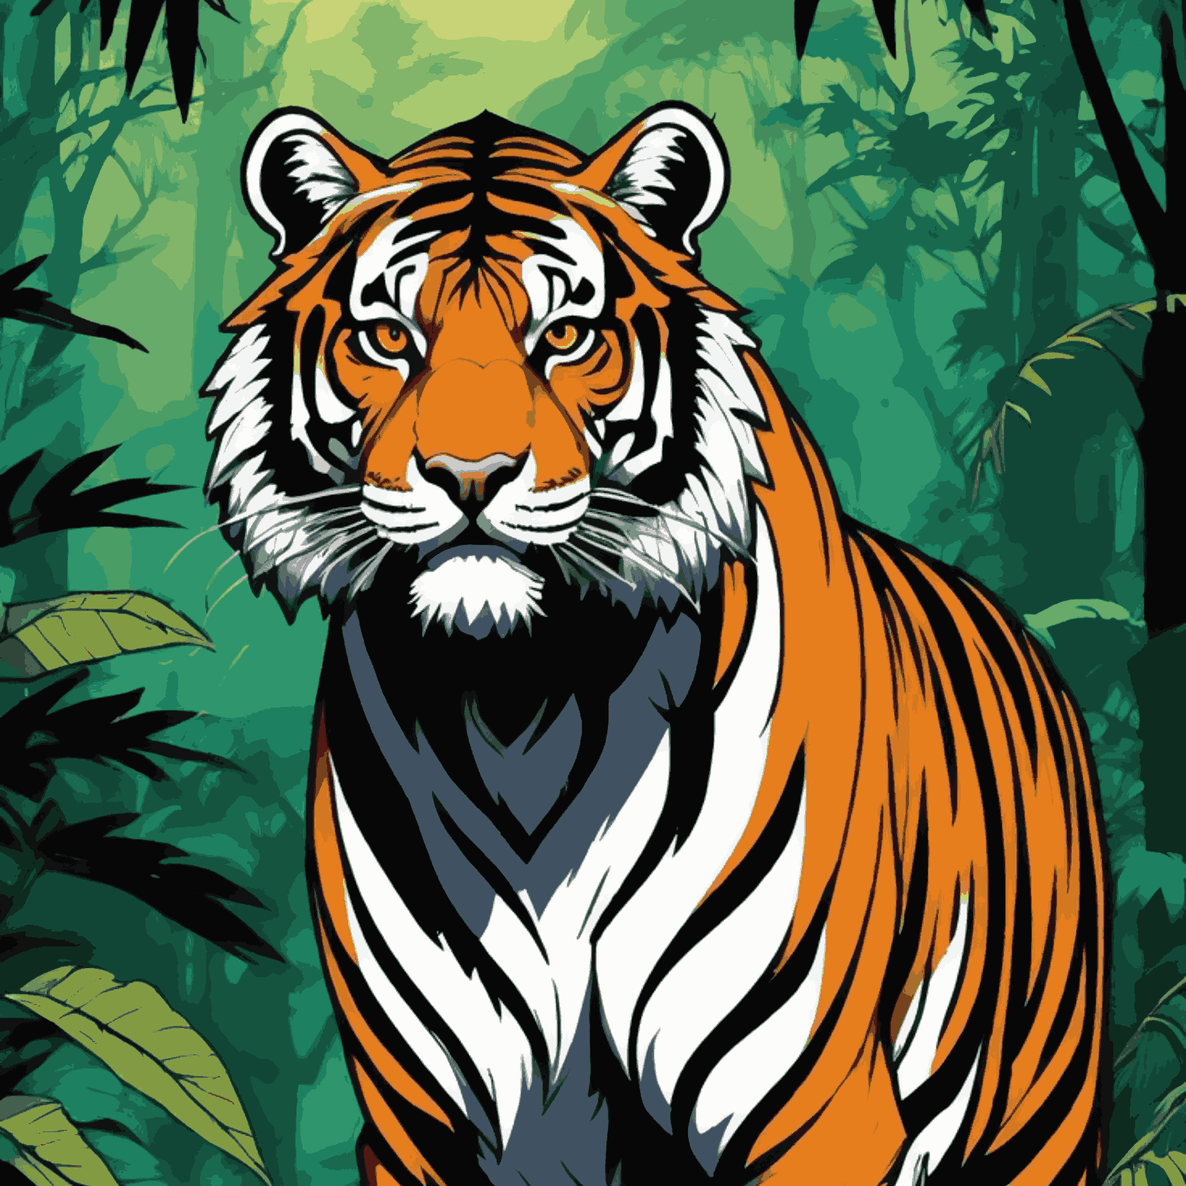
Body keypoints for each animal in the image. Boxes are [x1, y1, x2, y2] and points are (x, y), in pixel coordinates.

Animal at [202, 101, 1107, 1186]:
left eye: (563, 335)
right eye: (388, 337)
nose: (472, 475)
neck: (519, 703)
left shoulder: (815, 1109)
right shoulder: (427, 1123)